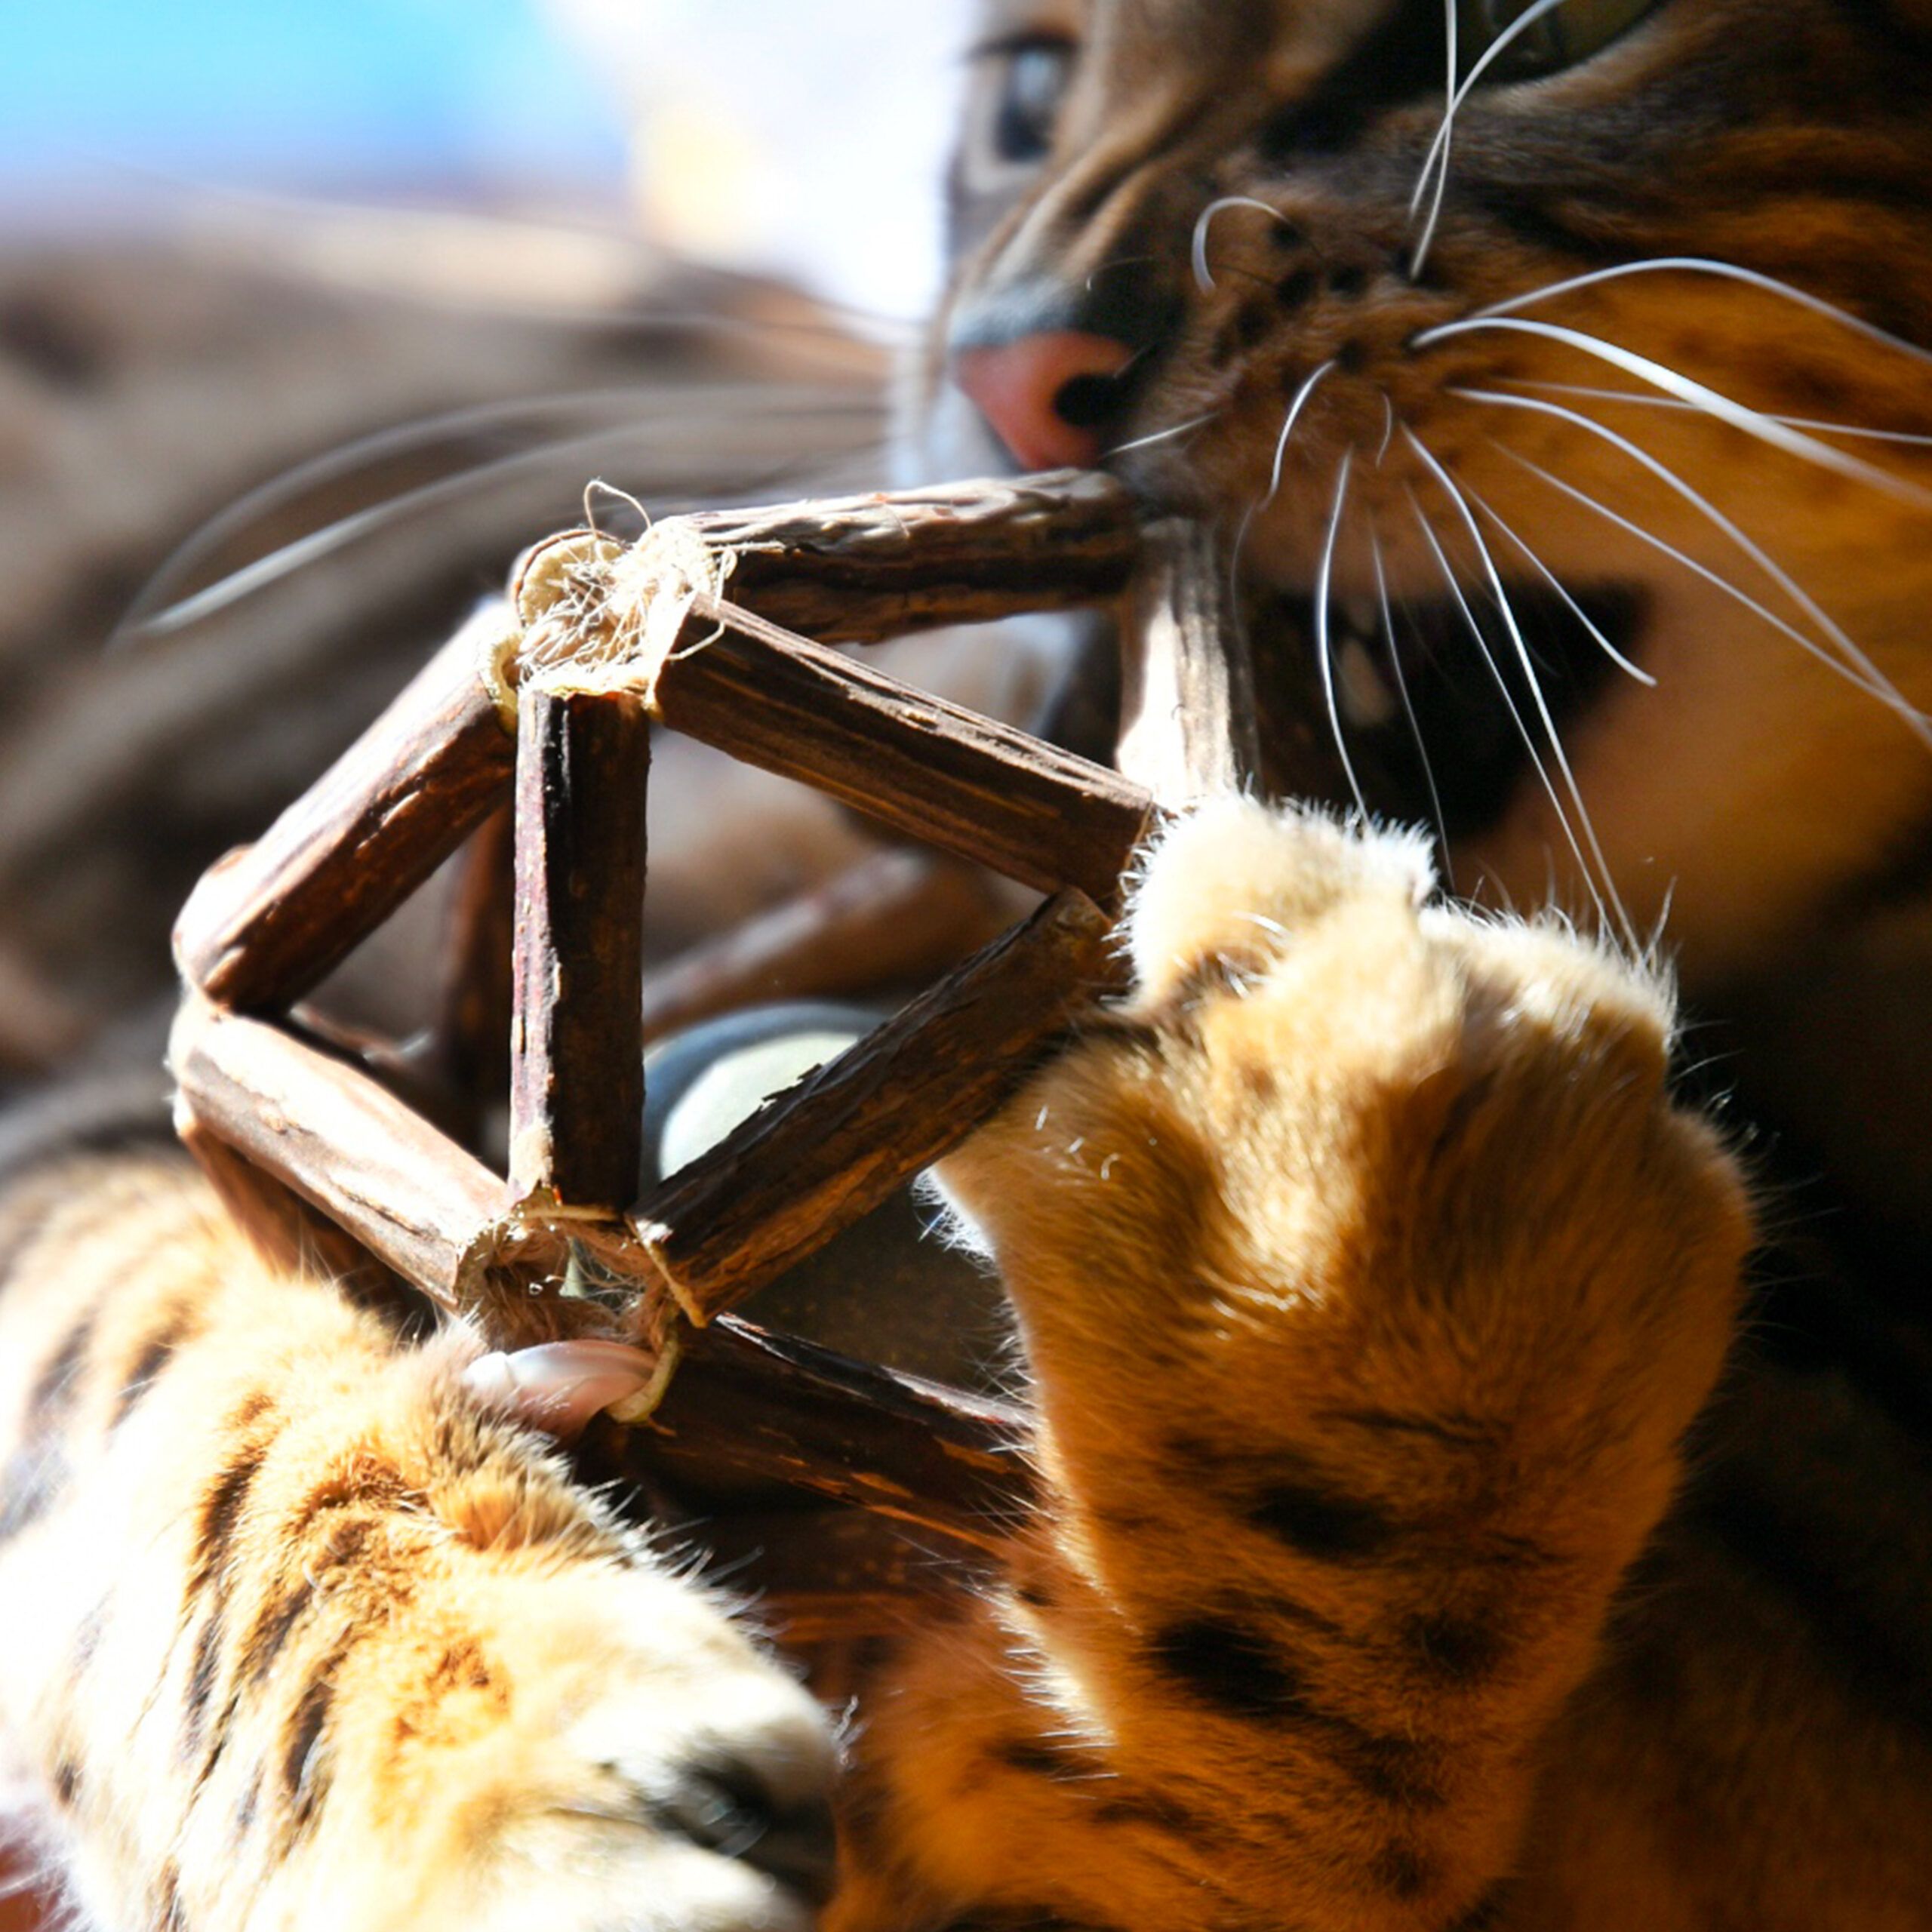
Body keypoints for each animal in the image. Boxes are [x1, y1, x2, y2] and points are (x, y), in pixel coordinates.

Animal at [4, 0, 1932, 1924]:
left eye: (1541, 40)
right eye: (1025, 94)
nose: (1009, 364)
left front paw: (1339, 1288)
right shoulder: (185, 1094)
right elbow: (215, 1406)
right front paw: (499, 1758)